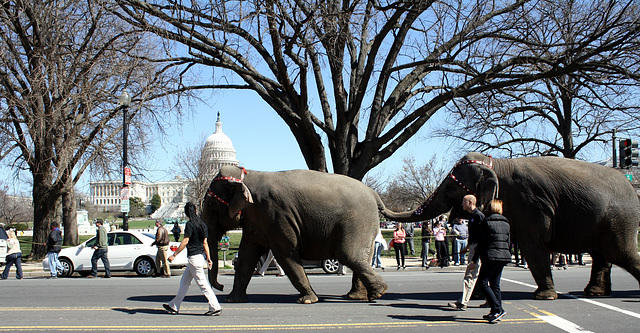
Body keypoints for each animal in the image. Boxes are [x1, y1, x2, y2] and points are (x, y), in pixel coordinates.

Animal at [201, 165, 390, 302]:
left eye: (210, 204)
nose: (220, 287)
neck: (249, 175)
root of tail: (374, 194)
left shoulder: (276, 215)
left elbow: (286, 253)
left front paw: (308, 300)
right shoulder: (257, 219)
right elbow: (247, 254)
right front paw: (232, 300)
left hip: (357, 221)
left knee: (347, 254)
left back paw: (379, 293)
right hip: (366, 225)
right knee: (361, 256)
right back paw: (359, 296)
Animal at [380, 152, 640, 300]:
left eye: (451, 188)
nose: (380, 206)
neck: (498, 165)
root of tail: (631, 186)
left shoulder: (530, 205)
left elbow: (533, 248)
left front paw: (543, 297)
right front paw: (479, 294)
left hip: (619, 221)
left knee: (620, 254)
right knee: (602, 256)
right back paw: (595, 292)